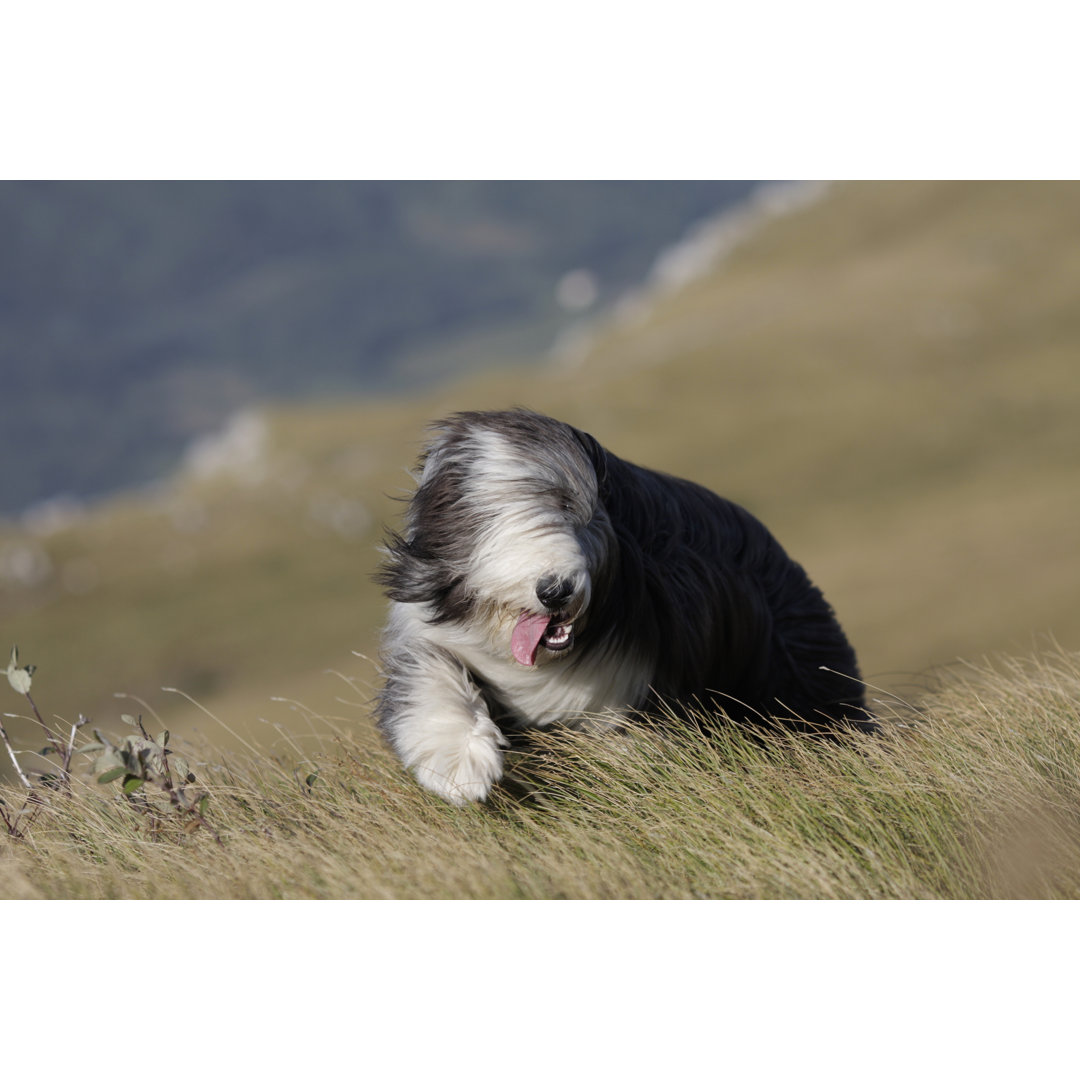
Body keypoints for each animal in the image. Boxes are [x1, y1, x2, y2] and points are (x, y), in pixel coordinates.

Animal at [375, 408, 872, 807]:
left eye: (570, 506)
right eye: (487, 519)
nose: (555, 589)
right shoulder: (426, 635)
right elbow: (429, 677)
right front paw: (459, 765)